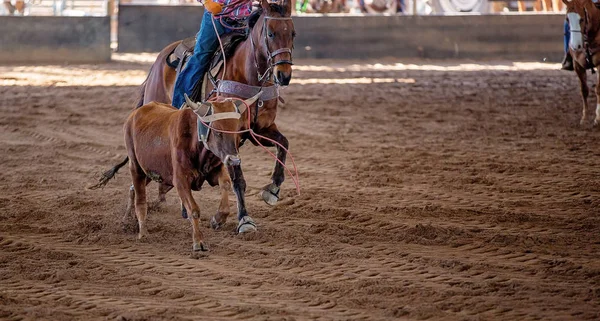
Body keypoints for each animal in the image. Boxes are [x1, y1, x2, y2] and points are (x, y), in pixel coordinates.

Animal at [136, 0, 296, 206]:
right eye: (270, 33)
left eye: (292, 33)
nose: (284, 75)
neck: (250, 77)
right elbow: (238, 179)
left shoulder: (260, 129)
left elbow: (283, 144)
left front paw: (273, 188)